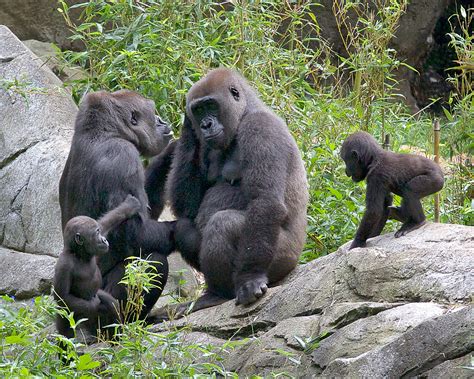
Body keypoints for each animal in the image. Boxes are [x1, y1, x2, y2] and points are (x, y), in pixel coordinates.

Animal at [54, 196, 141, 342]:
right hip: (68, 316)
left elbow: (108, 221)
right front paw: (94, 303)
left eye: (99, 231)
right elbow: (62, 296)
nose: (104, 240)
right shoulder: (64, 265)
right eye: (96, 233)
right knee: (67, 335)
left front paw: (129, 207)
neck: (79, 254)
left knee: (111, 304)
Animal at [59, 90, 176, 320]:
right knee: (153, 261)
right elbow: (134, 234)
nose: (162, 121)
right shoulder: (122, 157)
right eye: (153, 112)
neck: (105, 132)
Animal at [148, 68, 312, 314]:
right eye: (198, 110)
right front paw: (187, 126)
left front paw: (251, 277)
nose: (205, 125)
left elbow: (265, 201)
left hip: (285, 258)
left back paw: (222, 293)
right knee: (184, 226)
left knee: (223, 224)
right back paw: (214, 293)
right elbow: (186, 207)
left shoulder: (260, 128)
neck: (245, 112)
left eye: (211, 105)